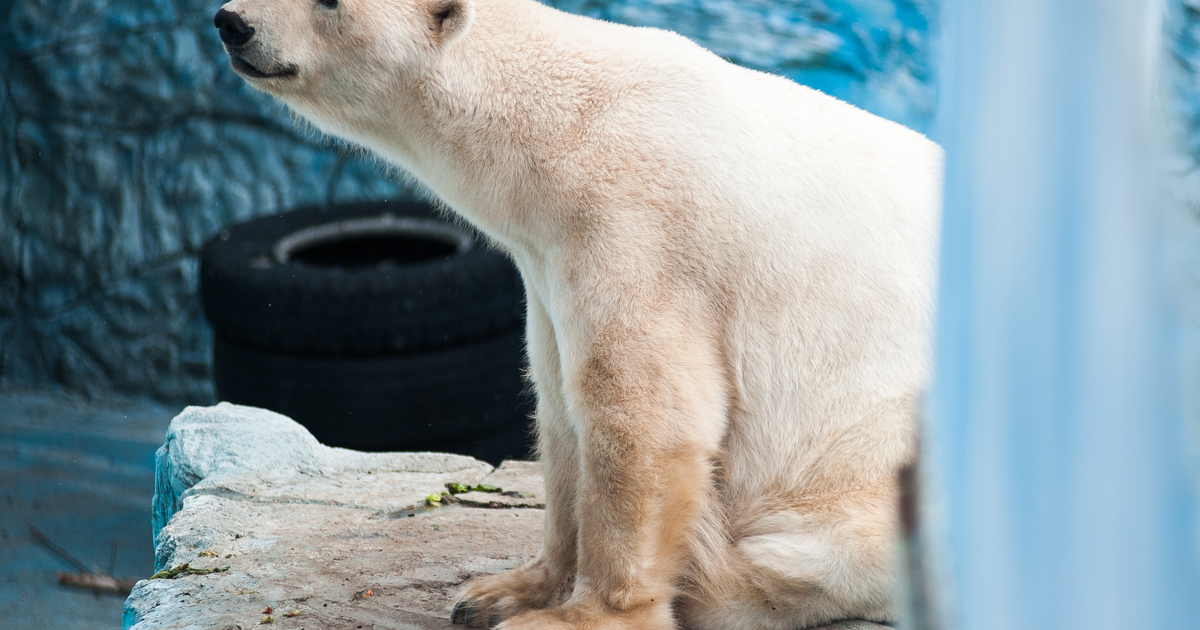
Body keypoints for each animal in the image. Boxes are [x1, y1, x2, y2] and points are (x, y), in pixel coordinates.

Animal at [216, 0, 940, 624]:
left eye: (330, 1)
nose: (232, 22)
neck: (555, 126)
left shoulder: (638, 227)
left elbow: (644, 412)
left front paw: (583, 615)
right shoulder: (546, 265)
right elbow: (560, 408)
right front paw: (501, 592)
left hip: (874, 456)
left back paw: (713, 576)